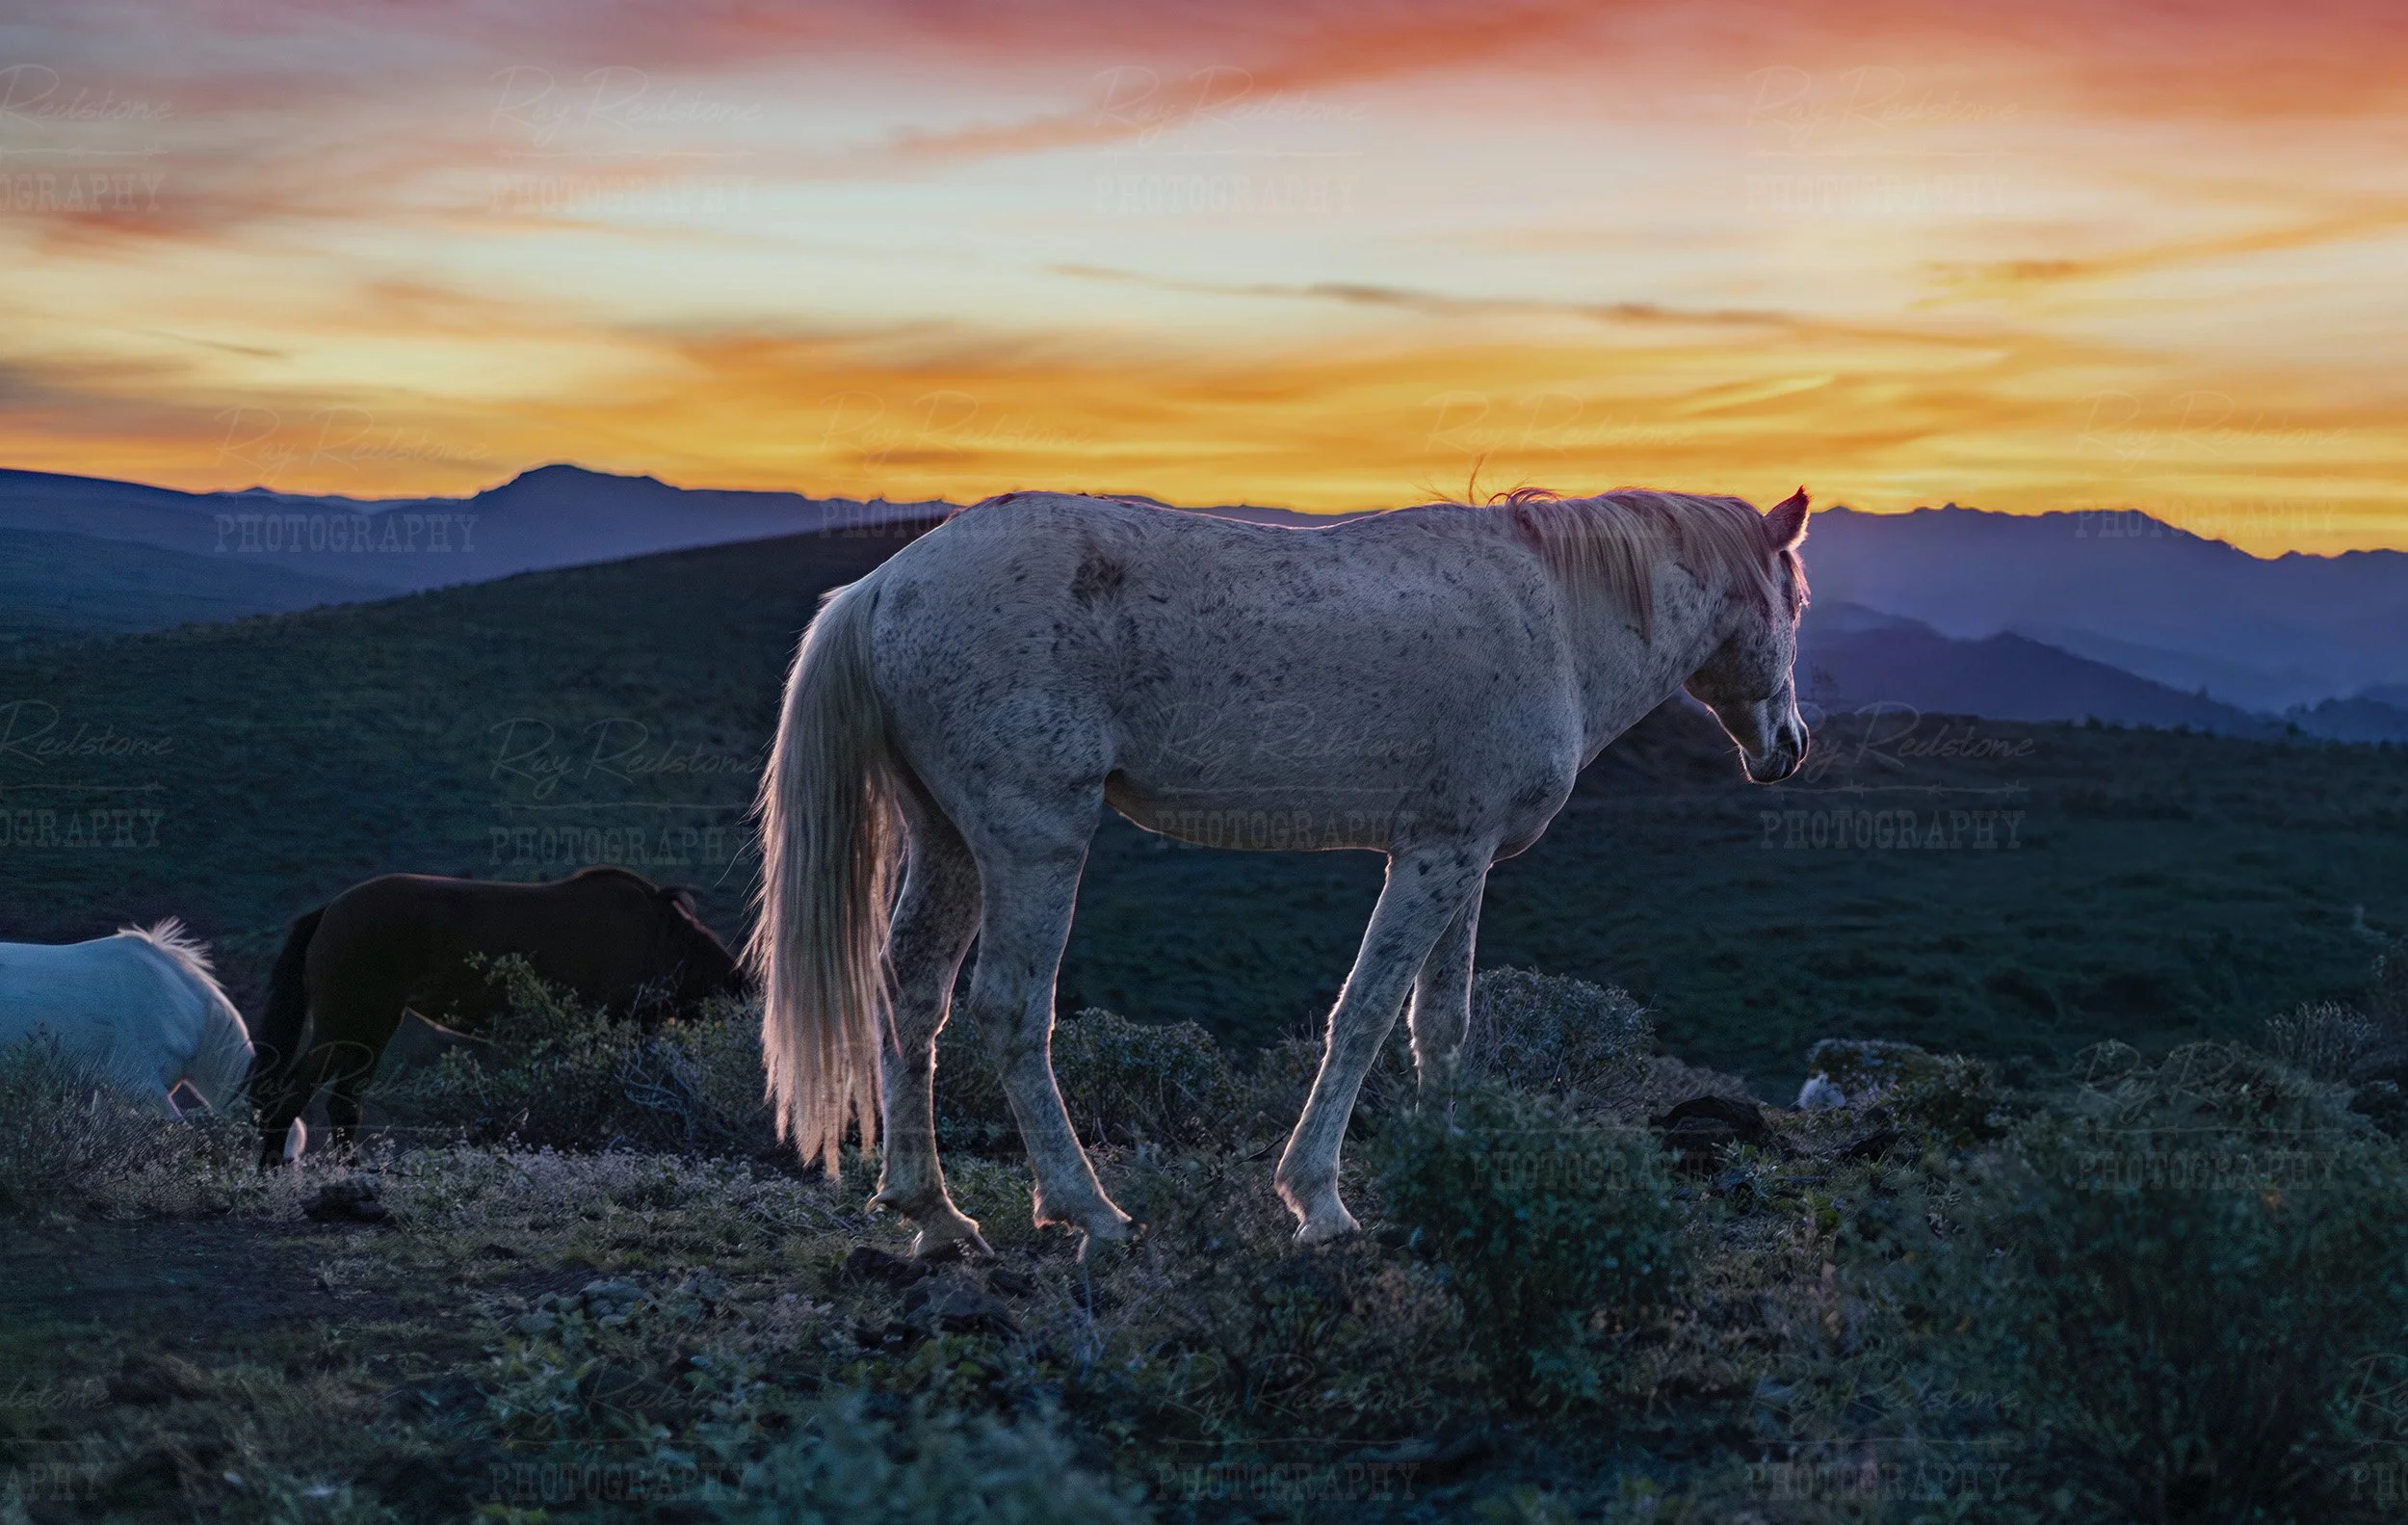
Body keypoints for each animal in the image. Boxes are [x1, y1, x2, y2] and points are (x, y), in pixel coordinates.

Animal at [251, 866, 749, 1164]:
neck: (663, 939)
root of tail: (330, 911)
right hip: (351, 1025)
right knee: (293, 1095)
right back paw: (272, 1171)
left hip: (366, 1031)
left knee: (342, 1103)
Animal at [752, 484, 1812, 1254]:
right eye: (1795, 604)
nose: (1790, 747)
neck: (1553, 616)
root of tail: (883, 587)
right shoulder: (1430, 855)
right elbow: (1367, 1015)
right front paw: (1319, 1202)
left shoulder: (1465, 856)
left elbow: (1442, 1023)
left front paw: (1451, 1162)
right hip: (1033, 840)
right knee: (1010, 1008)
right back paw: (1089, 1211)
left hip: (947, 840)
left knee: (912, 994)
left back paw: (932, 1213)